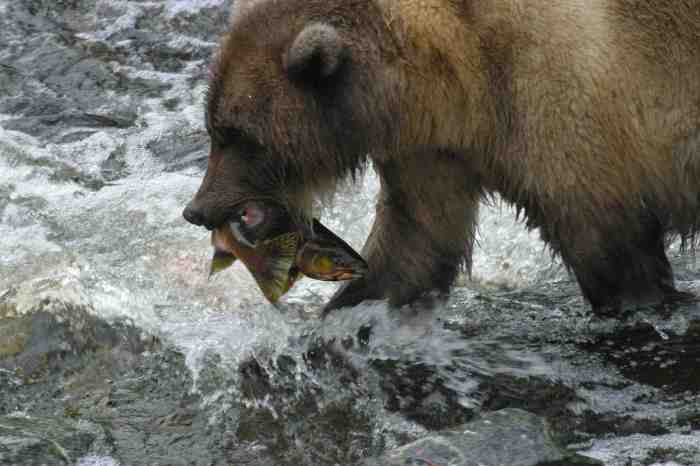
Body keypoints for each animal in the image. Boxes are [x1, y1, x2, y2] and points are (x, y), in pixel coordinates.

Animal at [183, 0, 700, 316]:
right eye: (213, 127)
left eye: (237, 134)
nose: (196, 209)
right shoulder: (433, 147)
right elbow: (417, 240)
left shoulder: (561, 97)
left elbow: (611, 245)